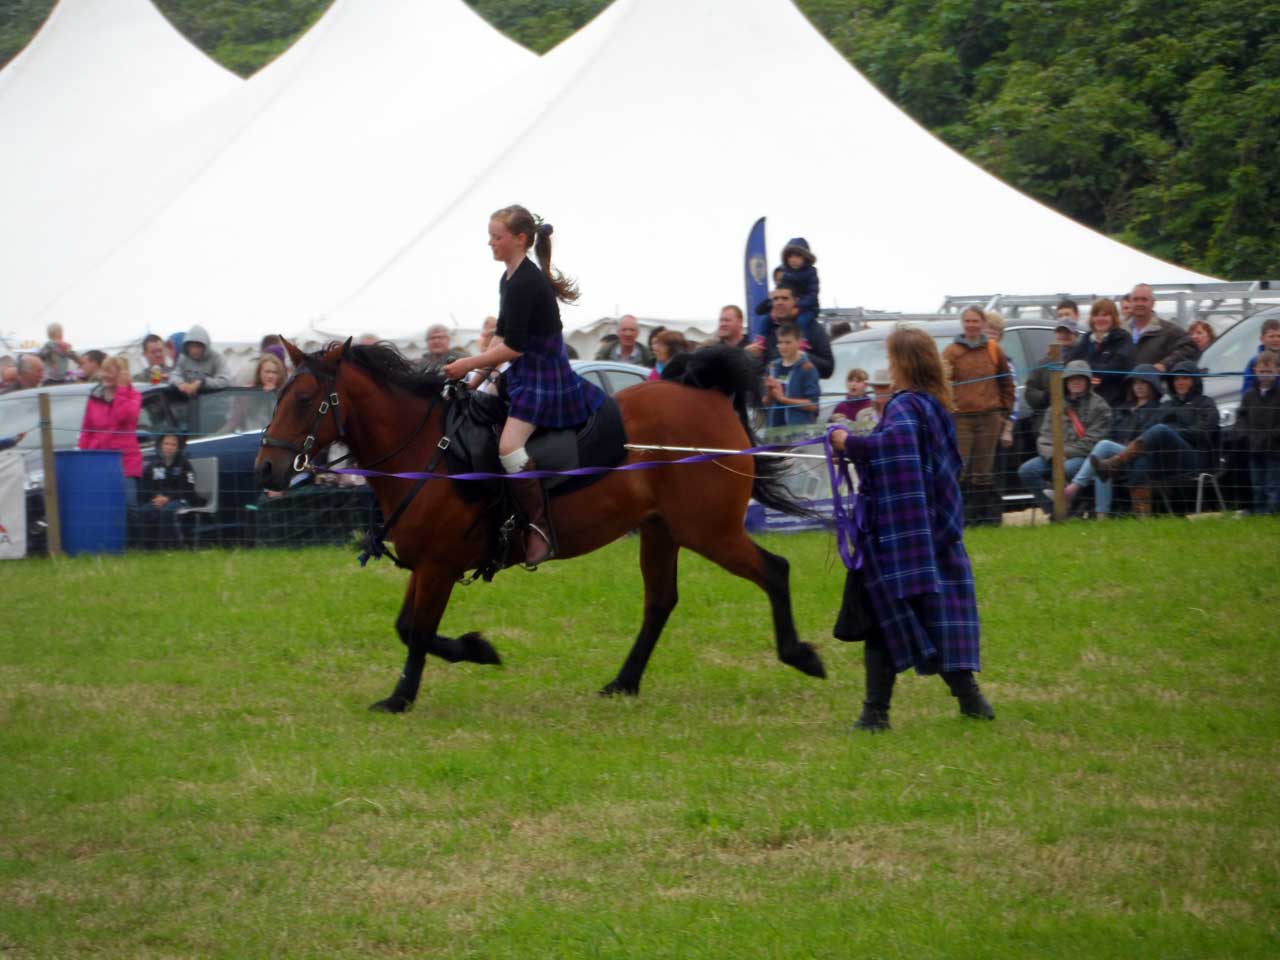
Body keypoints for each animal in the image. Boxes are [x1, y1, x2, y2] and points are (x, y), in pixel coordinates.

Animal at [254, 340, 824, 716]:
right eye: (277, 395)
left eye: (304, 400)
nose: (265, 469)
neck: (429, 452)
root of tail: (706, 396)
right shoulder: (425, 564)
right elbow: (407, 627)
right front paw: (477, 651)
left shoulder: (438, 566)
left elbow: (417, 631)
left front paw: (402, 696)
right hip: (661, 531)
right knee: (660, 603)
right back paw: (623, 683)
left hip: (709, 531)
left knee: (774, 570)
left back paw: (801, 655)